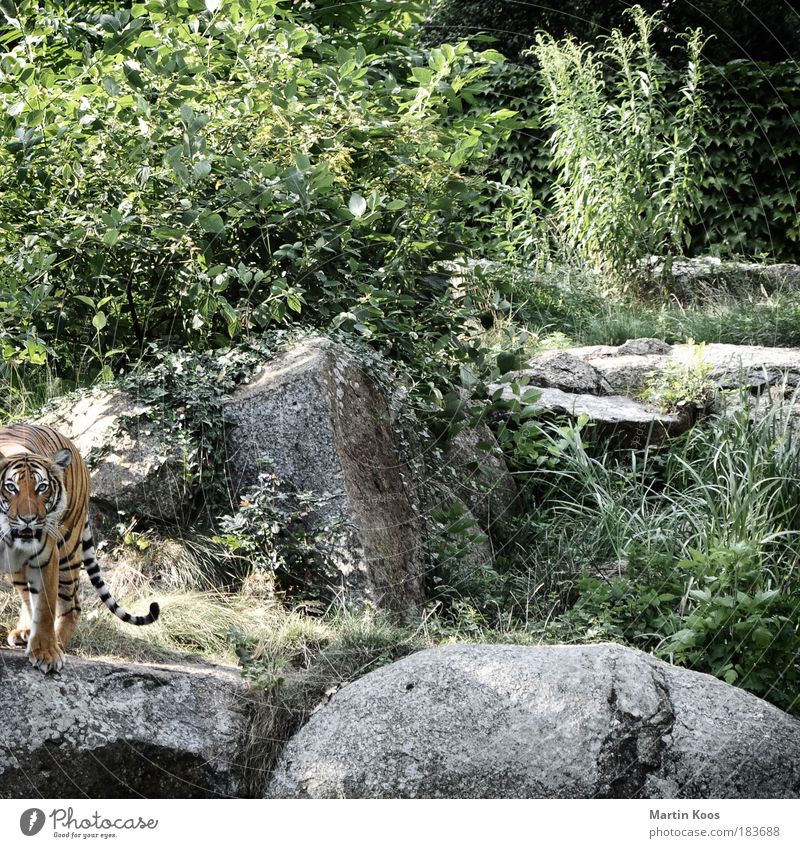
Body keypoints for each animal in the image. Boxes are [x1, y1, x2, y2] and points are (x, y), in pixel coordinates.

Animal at [0, 420, 159, 672]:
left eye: (42, 488)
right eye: (11, 487)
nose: (28, 519)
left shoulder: (47, 555)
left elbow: (45, 606)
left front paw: (47, 653)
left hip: (68, 549)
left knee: (71, 605)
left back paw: (58, 643)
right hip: (18, 564)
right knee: (27, 595)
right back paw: (24, 631)